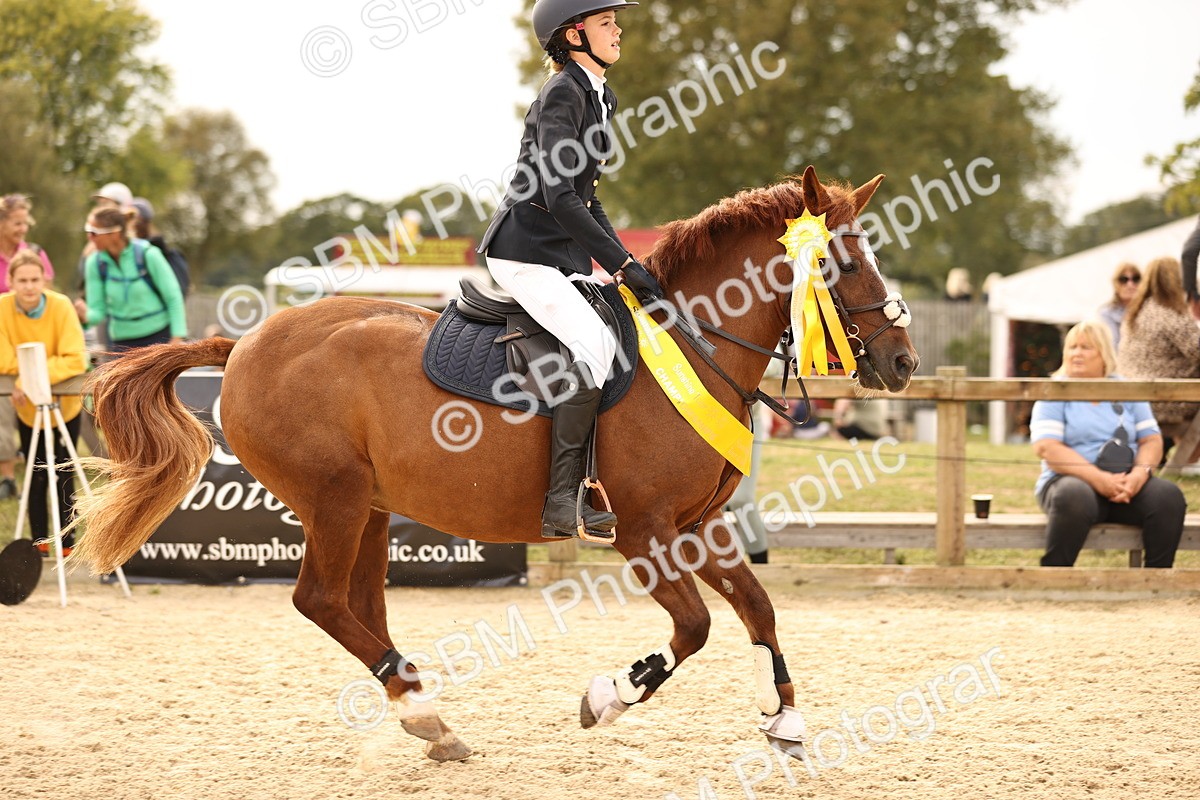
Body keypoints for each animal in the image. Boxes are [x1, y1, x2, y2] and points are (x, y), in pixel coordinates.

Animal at [71, 165, 917, 763]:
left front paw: (787, 720)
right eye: (844, 264)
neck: (691, 341)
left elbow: (758, 610)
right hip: (333, 499)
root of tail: (243, 342)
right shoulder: (645, 532)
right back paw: (426, 714)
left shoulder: (698, 528)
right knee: (320, 600)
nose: (903, 362)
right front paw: (611, 695)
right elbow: (697, 626)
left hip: (370, 506)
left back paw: (423, 713)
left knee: (361, 605)